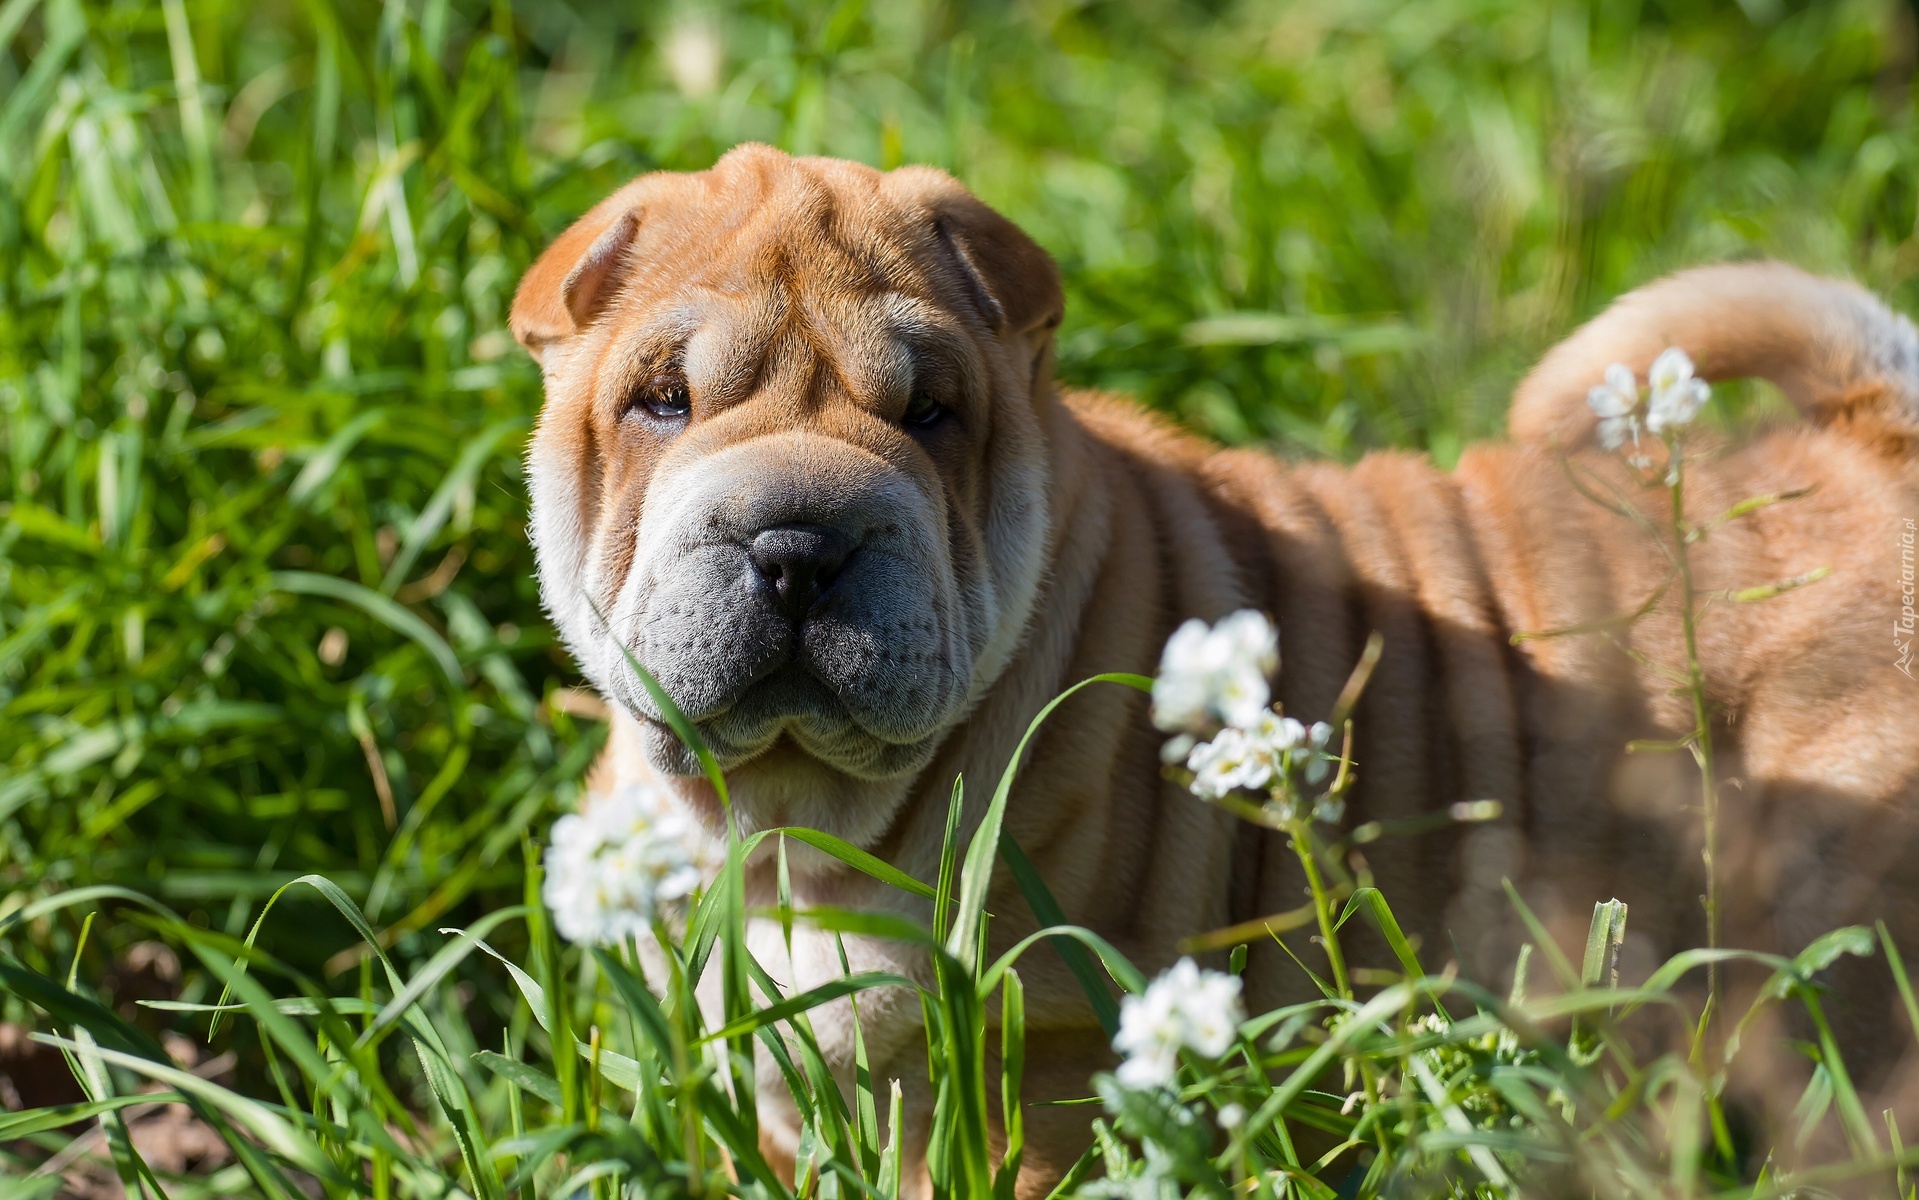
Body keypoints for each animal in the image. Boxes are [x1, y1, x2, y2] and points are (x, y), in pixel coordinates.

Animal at [518, 143, 1919, 1190]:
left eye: (931, 414)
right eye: (660, 401)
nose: (797, 544)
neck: (790, 826)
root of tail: (1875, 448)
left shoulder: (1051, 1068)